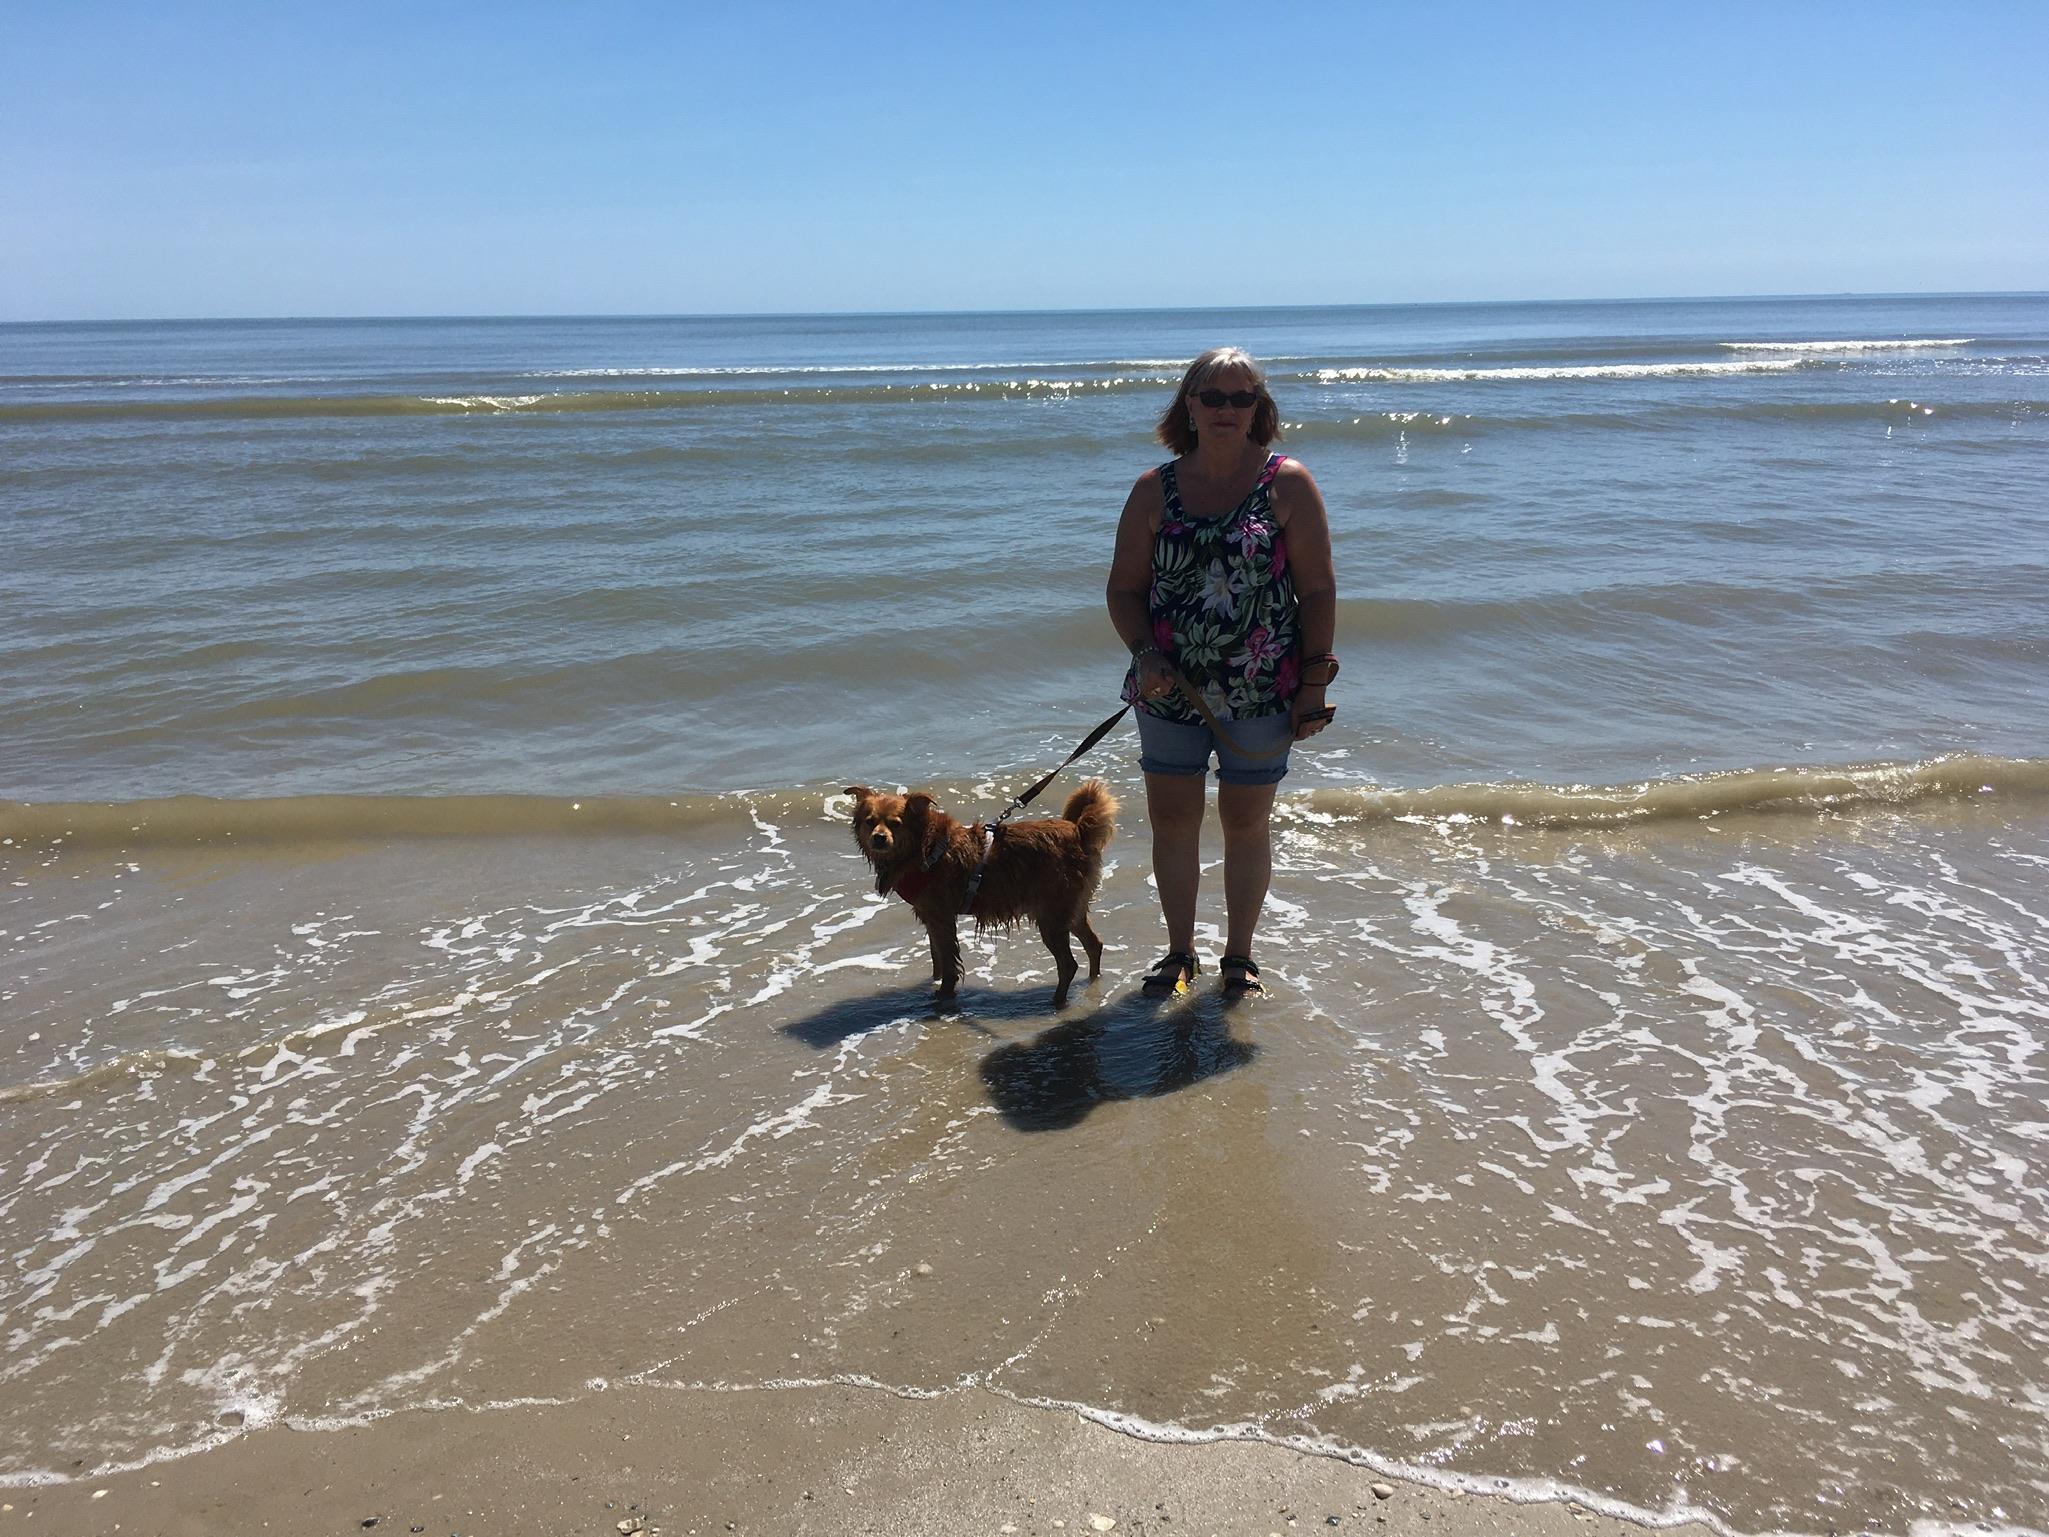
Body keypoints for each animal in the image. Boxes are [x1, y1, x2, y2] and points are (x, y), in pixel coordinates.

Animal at [848, 782, 1122, 1012]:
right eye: (869, 822)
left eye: (895, 823)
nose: (879, 838)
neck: (923, 848)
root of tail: (1078, 831)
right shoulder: (930, 917)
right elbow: (937, 957)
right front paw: (934, 981)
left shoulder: (941, 918)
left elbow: (948, 961)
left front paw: (944, 994)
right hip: (1069, 911)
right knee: (1094, 945)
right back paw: (1093, 982)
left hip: (1051, 917)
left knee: (1068, 964)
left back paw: (1056, 1001)